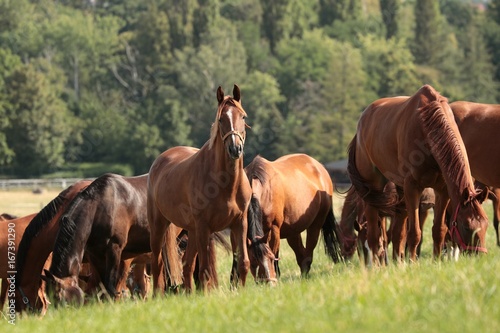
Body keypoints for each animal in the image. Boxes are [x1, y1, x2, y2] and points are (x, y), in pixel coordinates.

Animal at [146, 85, 252, 290]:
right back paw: (157, 293)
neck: (225, 186)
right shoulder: (204, 227)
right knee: (157, 263)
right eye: (220, 119)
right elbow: (204, 270)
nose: (235, 149)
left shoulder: (240, 223)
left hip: (192, 231)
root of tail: (159, 161)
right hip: (159, 226)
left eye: (243, 117)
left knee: (187, 266)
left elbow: (243, 263)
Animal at [348, 85, 488, 264]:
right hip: (373, 187)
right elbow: (414, 233)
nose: (480, 257)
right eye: (466, 226)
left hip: (399, 191)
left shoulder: (442, 191)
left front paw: (437, 261)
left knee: (397, 233)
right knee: (373, 234)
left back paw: (398, 263)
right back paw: (378, 266)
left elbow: (439, 230)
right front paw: (413, 263)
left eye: (485, 224)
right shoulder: (413, 188)